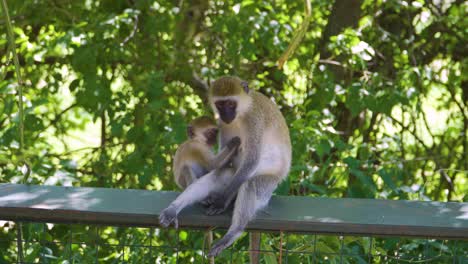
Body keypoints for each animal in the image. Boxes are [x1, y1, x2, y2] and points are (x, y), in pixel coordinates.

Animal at [207, 76, 290, 258]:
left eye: (231, 104)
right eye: (220, 104)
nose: (226, 115)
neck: (242, 113)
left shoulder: (254, 120)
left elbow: (252, 160)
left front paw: (222, 200)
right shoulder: (222, 124)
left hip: (268, 187)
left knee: (250, 183)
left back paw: (234, 231)